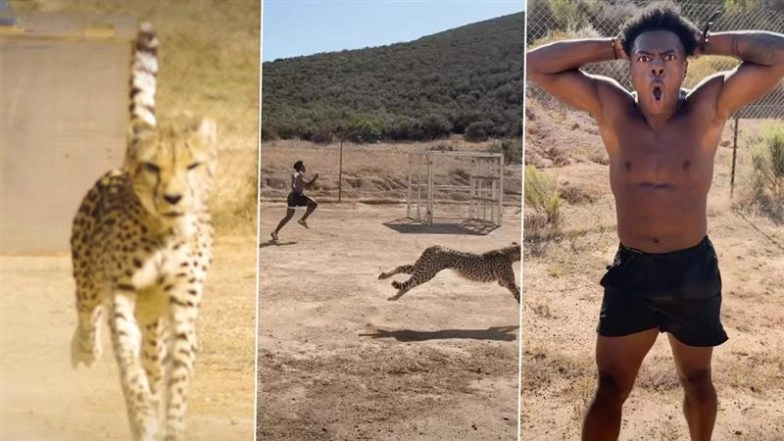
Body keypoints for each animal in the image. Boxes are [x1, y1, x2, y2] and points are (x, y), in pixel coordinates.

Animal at [69, 22, 218, 441]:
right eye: (153, 167)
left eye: (192, 165)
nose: (173, 197)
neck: (163, 232)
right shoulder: (121, 293)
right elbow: (128, 366)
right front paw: (143, 417)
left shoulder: (182, 307)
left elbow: (177, 377)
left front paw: (171, 423)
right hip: (89, 277)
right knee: (87, 313)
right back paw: (84, 350)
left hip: (154, 322)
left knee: (154, 360)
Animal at [378, 243, 521, 303]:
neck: (510, 253)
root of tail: (435, 247)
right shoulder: (510, 283)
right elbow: (519, 292)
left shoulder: (504, 282)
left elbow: (517, 290)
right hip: (428, 271)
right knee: (409, 283)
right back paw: (394, 293)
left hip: (421, 266)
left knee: (404, 271)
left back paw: (385, 278)